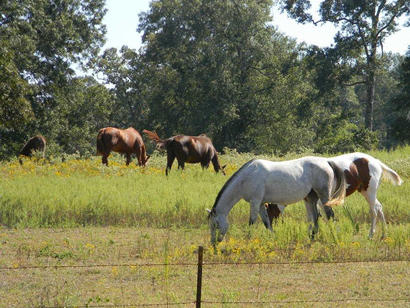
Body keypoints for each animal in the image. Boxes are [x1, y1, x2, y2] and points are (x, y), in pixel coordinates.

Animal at [207, 158, 344, 244]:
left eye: (216, 224)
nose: (213, 244)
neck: (246, 177)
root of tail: (326, 162)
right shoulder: (261, 204)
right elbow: (267, 223)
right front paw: (273, 239)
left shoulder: (255, 202)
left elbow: (251, 222)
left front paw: (248, 240)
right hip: (311, 198)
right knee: (315, 218)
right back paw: (312, 239)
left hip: (324, 197)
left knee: (330, 216)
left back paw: (335, 238)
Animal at [266, 153, 404, 239]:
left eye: (268, 211)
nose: (270, 228)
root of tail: (376, 162)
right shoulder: (309, 200)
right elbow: (311, 217)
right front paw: (311, 234)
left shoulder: (321, 201)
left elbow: (323, 216)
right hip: (366, 192)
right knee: (379, 207)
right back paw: (384, 234)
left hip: (370, 192)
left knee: (374, 210)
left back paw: (371, 234)